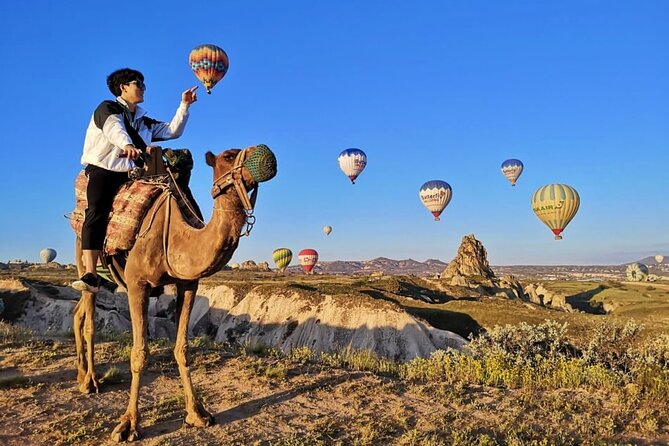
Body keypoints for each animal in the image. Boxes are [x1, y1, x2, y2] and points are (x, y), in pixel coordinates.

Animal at [70, 145, 274, 440]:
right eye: (227, 156)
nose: (266, 153)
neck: (178, 236)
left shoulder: (188, 284)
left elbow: (182, 348)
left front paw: (197, 413)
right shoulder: (137, 284)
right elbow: (139, 353)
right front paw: (128, 424)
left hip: (107, 277)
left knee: (77, 314)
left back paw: (80, 373)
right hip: (84, 251)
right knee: (89, 317)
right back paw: (91, 381)